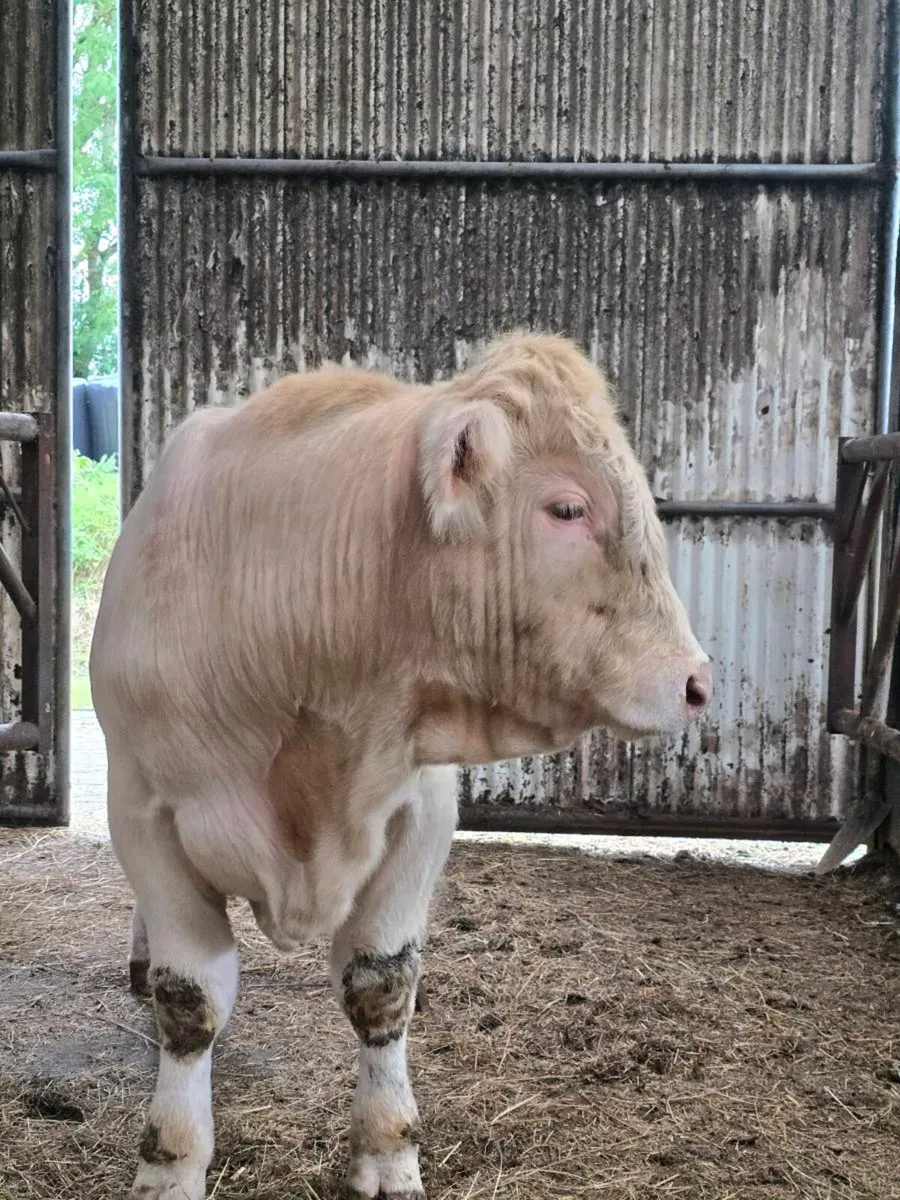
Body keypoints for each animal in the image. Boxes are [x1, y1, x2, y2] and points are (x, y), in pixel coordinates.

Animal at [90, 333, 711, 1199]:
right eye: (567, 508)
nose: (697, 683)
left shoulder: (421, 813)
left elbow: (380, 986)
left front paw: (388, 1152)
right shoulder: (146, 810)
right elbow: (189, 1001)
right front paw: (169, 1160)